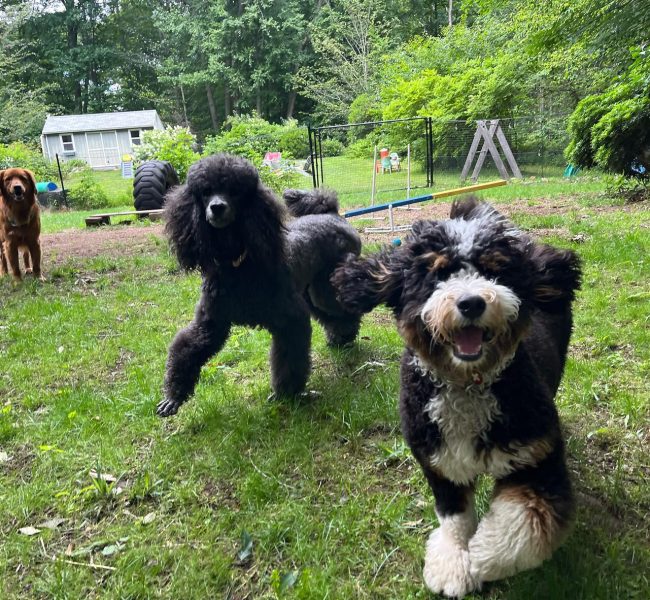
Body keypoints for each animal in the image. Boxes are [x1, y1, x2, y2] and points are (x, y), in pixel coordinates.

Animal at [156, 154, 360, 418]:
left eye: (235, 191)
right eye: (205, 192)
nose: (217, 207)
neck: (238, 265)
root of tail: (333, 214)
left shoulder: (291, 320)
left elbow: (289, 358)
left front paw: (286, 394)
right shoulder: (210, 322)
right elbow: (187, 349)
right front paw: (173, 397)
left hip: (324, 287)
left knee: (342, 308)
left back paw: (347, 335)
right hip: (308, 291)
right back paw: (340, 338)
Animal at [332, 197, 580, 596]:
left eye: (494, 271)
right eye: (438, 273)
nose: (472, 303)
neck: (467, 384)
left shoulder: (537, 457)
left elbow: (526, 524)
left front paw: (483, 556)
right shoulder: (440, 462)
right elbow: (455, 516)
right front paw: (453, 559)